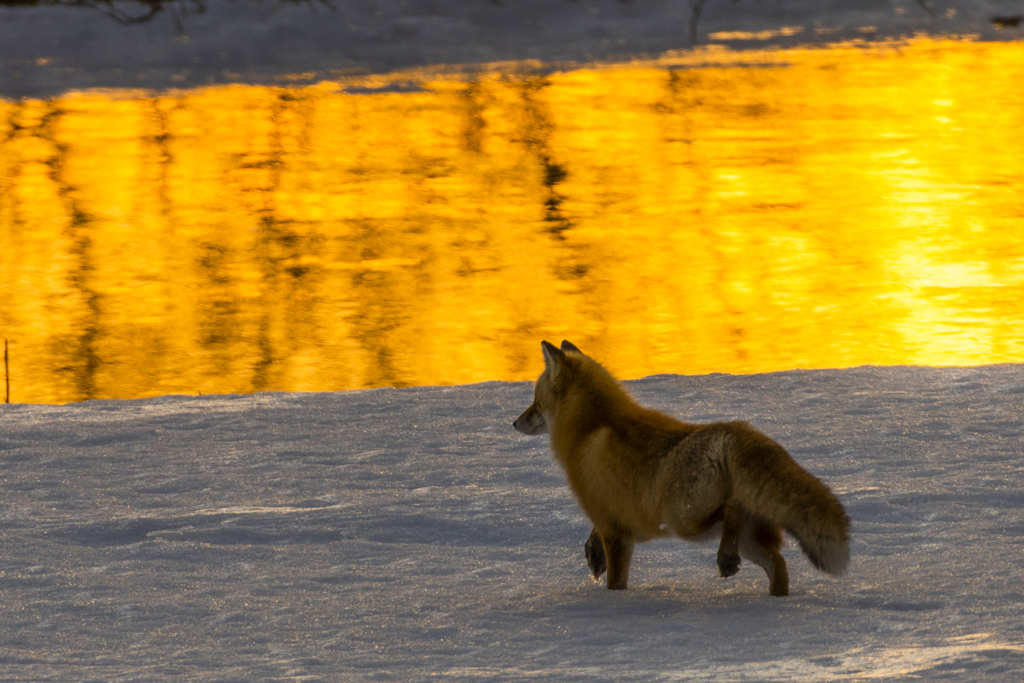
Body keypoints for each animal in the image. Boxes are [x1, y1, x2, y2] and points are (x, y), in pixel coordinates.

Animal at [509, 339, 847, 593]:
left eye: (535, 400)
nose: (514, 423)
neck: (590, 429)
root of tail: (736, 430)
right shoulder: (611, 516)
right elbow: (595, 543)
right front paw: (593, 555)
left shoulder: (615, 532)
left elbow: (616, 581)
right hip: (745, 539)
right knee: (779, 565)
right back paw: (775, 599)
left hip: (684, 521)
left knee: (733, 509)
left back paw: (726, 559)